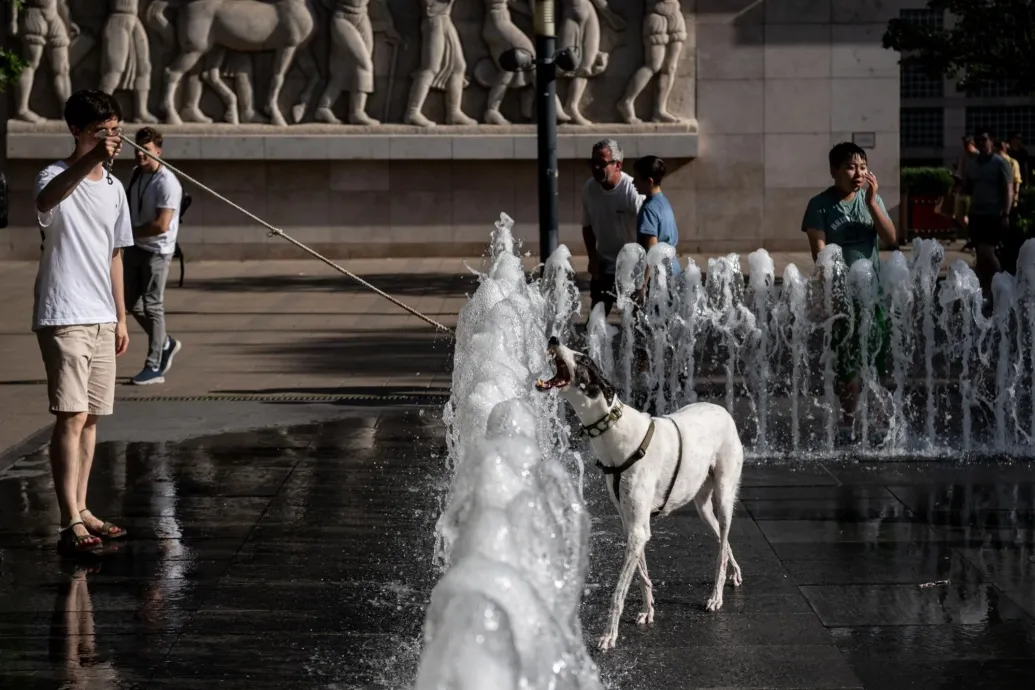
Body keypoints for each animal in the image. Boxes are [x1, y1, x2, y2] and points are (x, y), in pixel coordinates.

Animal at [534, 337, 745, 649]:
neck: (614, 431)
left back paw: (716, 596)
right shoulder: (632, 524)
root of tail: (724, 410)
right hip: (703, 506)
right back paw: (734, 572)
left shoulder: (637, 530)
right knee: (723, 539)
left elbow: (619, 591)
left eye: (583, 359)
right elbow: (642, 575)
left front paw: (609, 634)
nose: (553, 339)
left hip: (724, 496)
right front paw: (648, 610)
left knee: (722, 545)